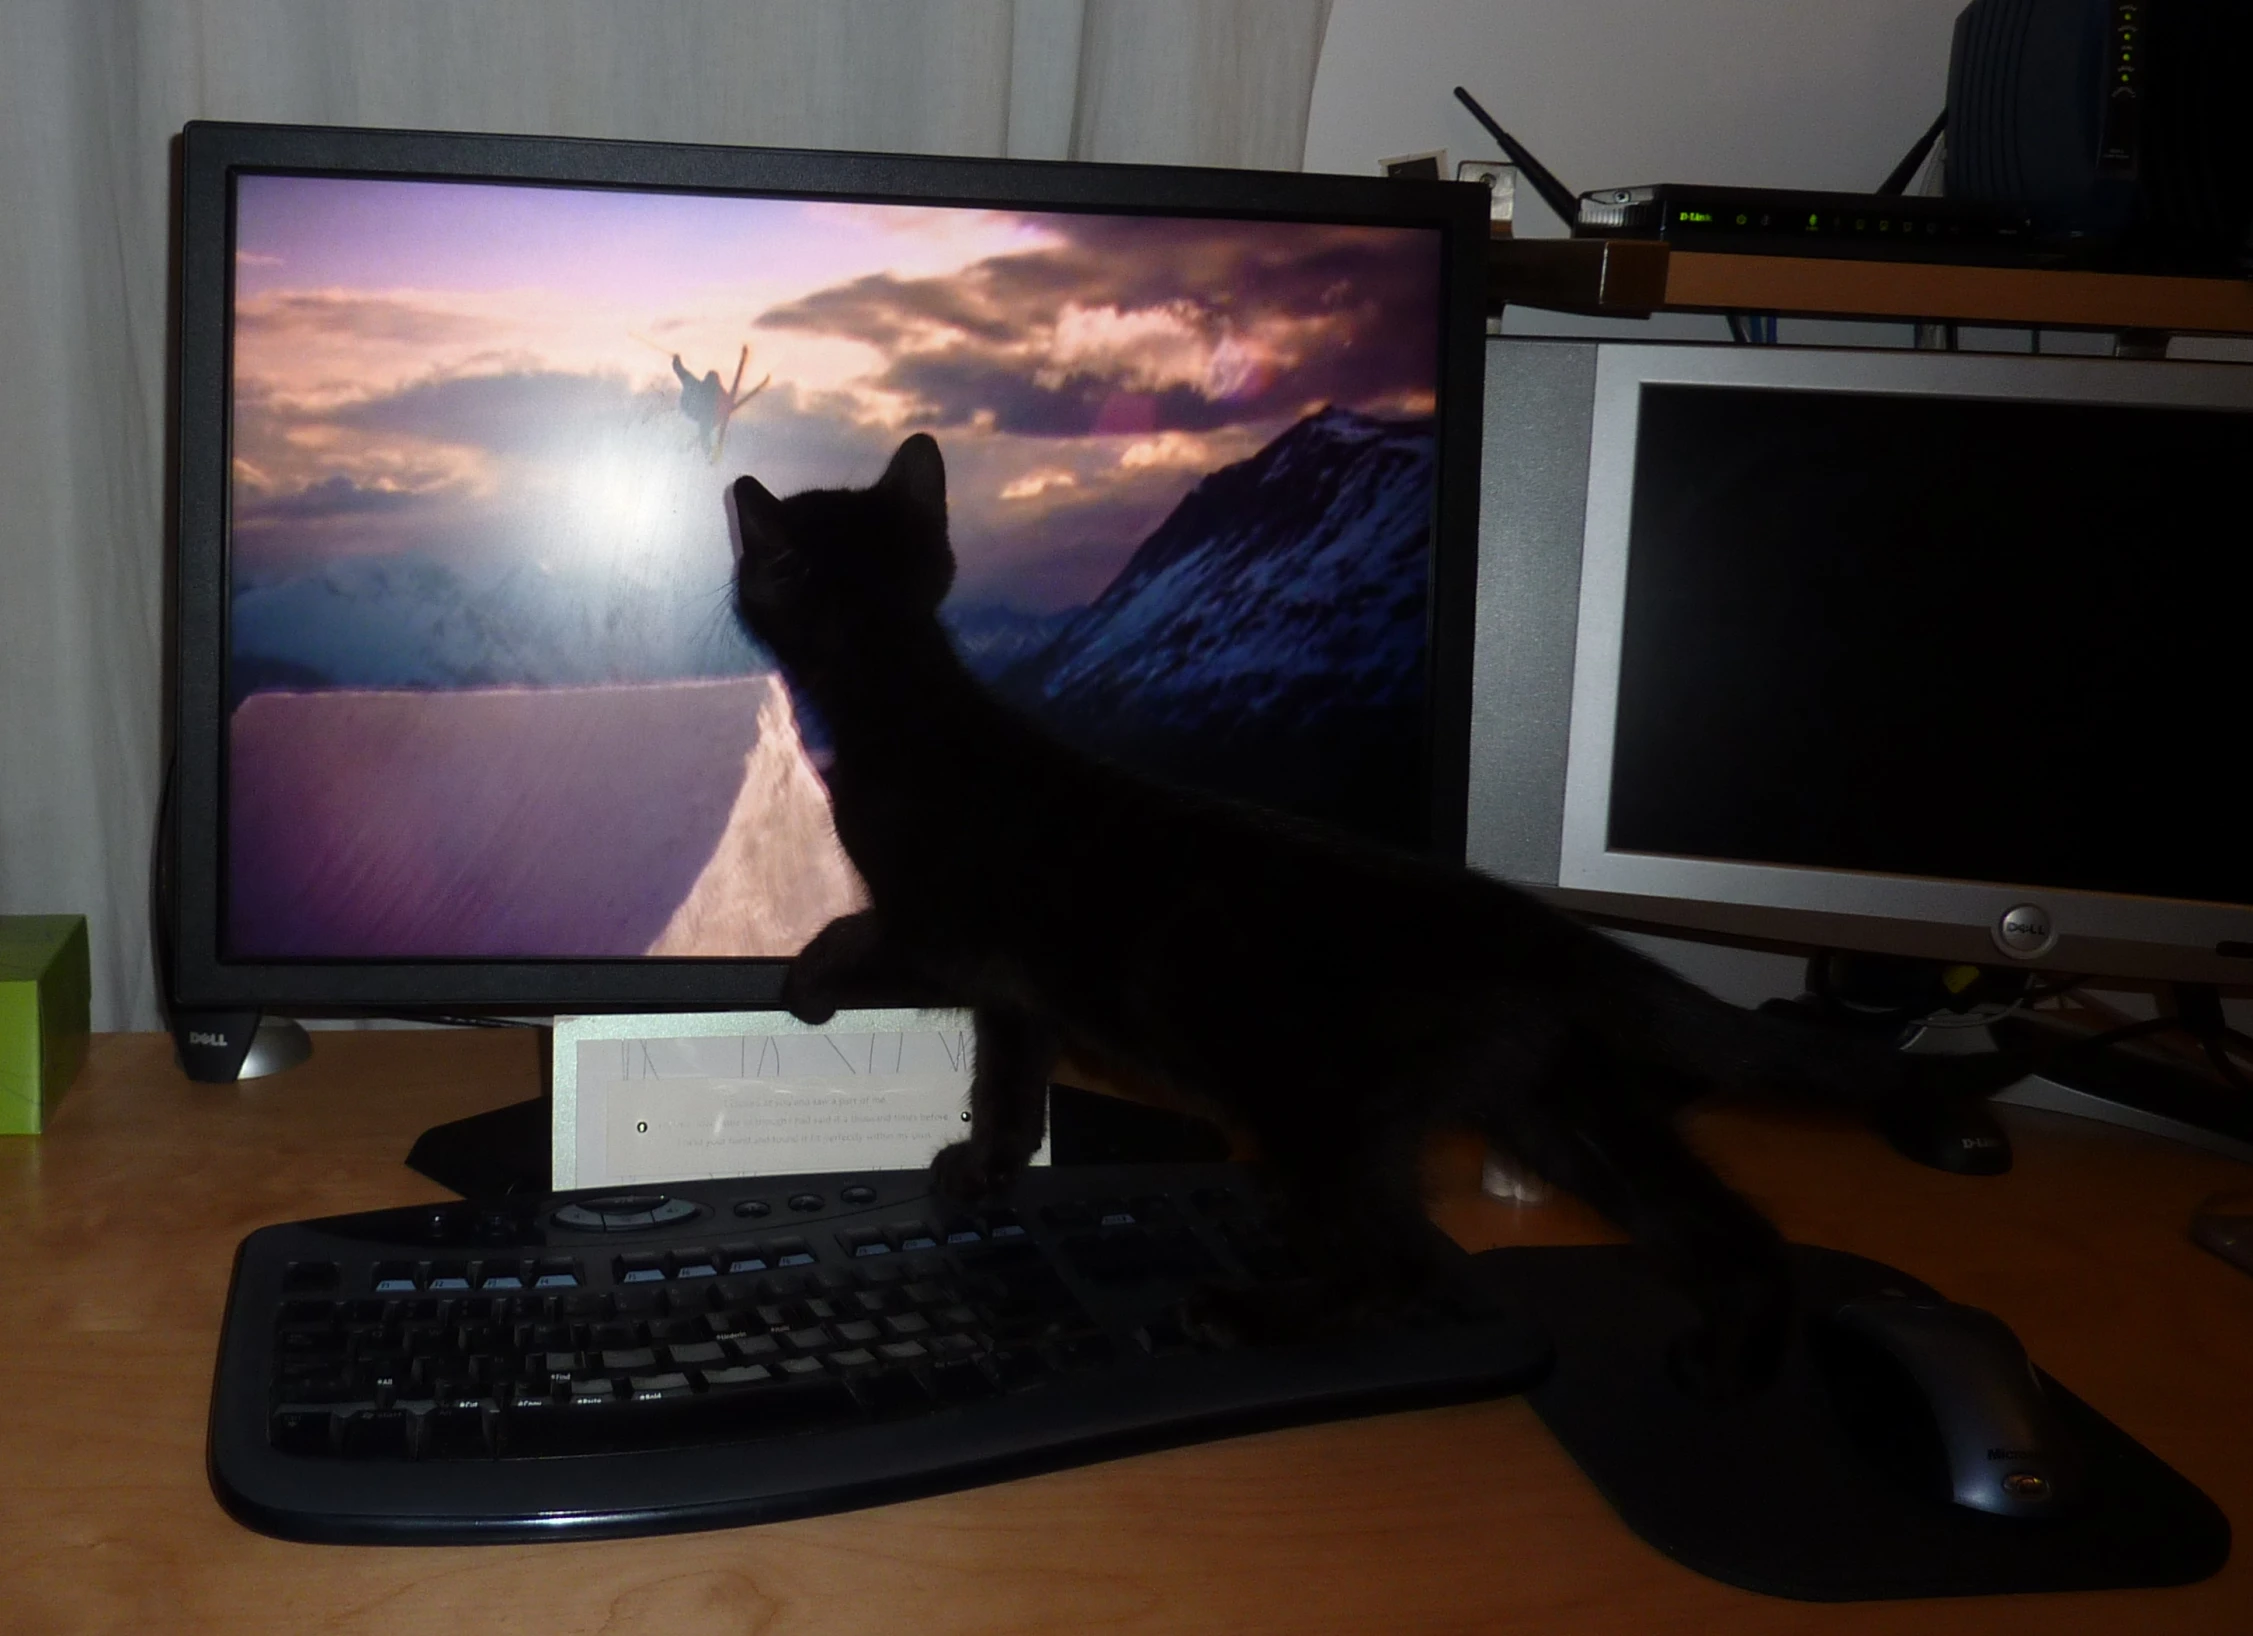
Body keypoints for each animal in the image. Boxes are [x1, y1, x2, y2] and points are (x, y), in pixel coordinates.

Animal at [729, 432, 2000, 1397]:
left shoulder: (941, 930)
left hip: (1324, 1118)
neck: (909, 696)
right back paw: (1732, 1359)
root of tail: (1538, 927)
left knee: (1397, 1266)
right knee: (1729, 1228)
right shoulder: (1016, 991)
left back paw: (1245, 1313)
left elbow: (859, 938)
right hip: (1556, 1108)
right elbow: (1007, 1079)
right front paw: (986, 1169)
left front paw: (804, 984)